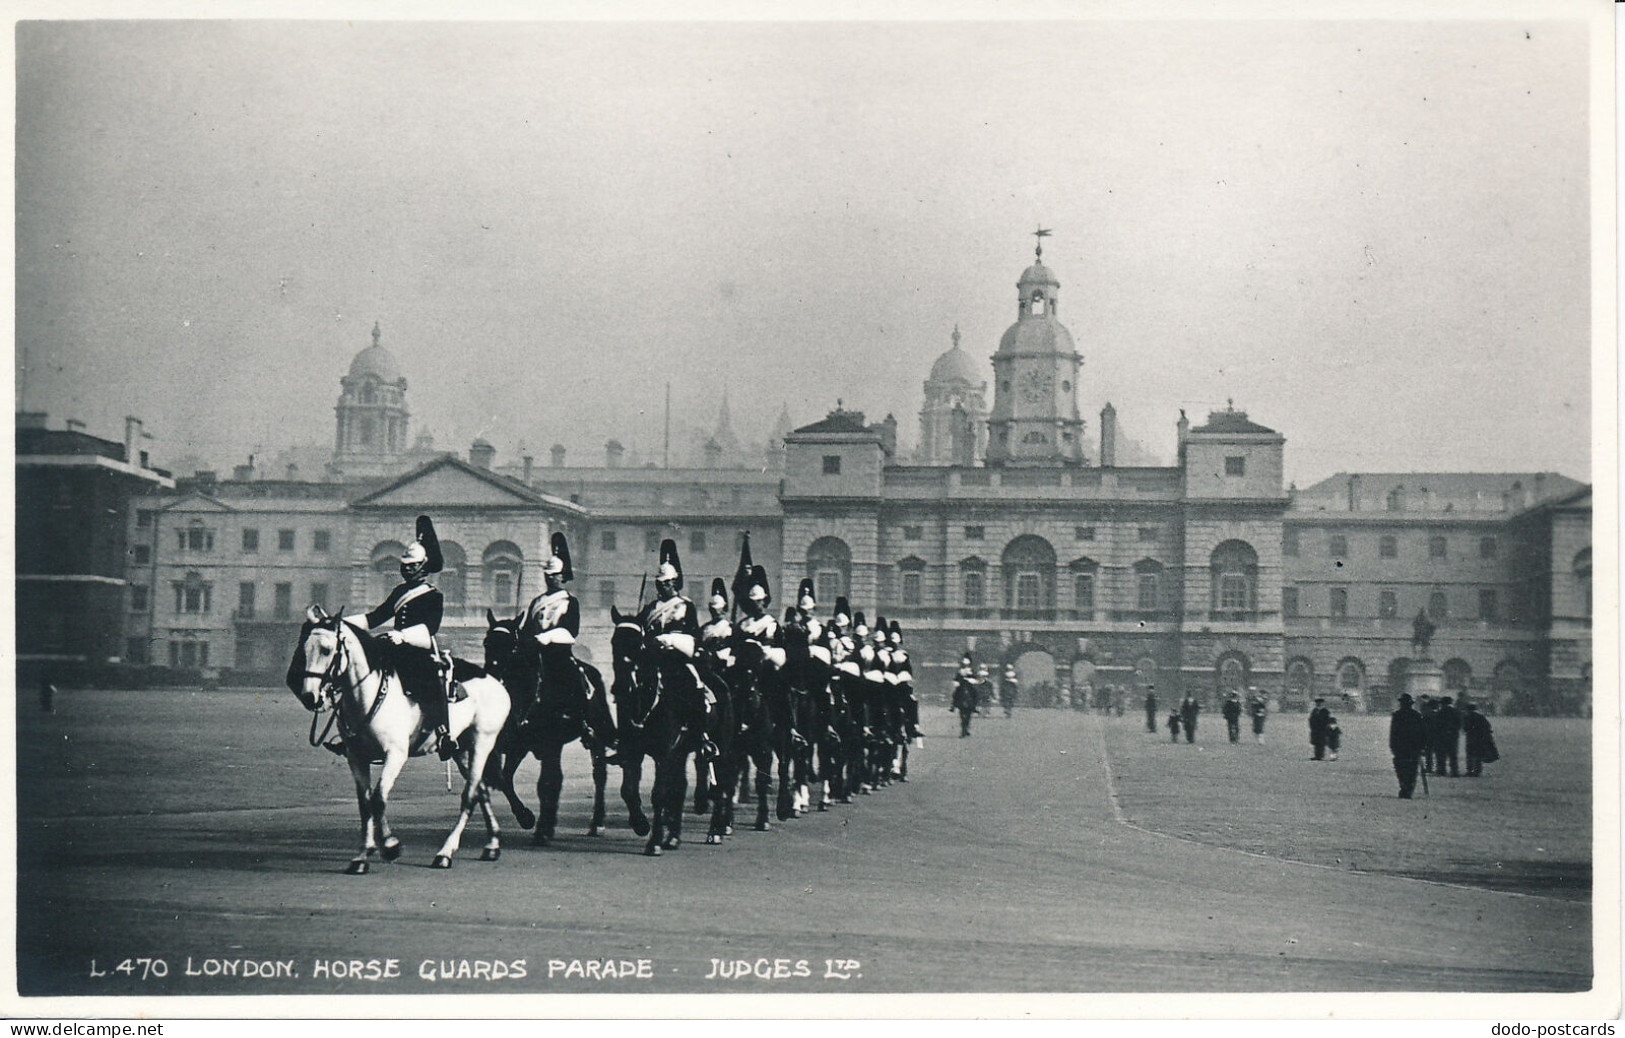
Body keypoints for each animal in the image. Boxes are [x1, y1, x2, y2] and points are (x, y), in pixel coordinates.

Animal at [289, 604, 510, 870]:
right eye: (304, 649)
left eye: (326, 649)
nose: (310, 696)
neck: (369, 695)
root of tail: (496, 683)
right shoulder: (356, 757)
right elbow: (365, 803)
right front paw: (362, 855)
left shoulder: (395, 754)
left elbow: (378, 799)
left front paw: (390, 846)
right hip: (461, 750)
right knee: (481, 790)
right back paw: (492, 844)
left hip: (482, 743)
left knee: (469, 796)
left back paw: (445, 852)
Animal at [481, 610, 614, 844]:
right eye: (487, 642)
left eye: (511, 645)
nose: (491, 676)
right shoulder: (518, 746)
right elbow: (504, 778)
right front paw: (526, 817)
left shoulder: (549, 743)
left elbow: (545, 784)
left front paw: (539, 827)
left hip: (594, 738)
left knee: (598, 775)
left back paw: (596, 823)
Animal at [607, 604, 715, 857]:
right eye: (614, 642)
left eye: (639, 644)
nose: (621, 687)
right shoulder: (634, 751)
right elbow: (628, 790)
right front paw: (640, 824)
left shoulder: (664, 753)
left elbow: (659, 794)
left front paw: (654, 841)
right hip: (680, 752)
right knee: (681, 787)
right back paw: (673, 837)